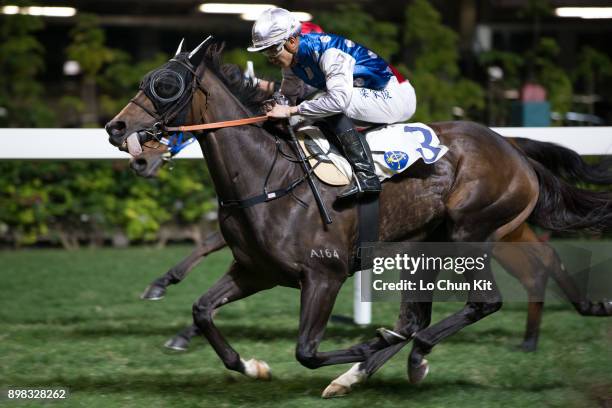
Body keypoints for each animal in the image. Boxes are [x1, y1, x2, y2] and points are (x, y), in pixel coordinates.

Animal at [104, 41, 612, 396]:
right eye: (146, 78)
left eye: (165, 85)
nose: (116, 128)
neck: (269, 176)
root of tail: (513, 148)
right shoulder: (254, 271)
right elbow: (203, 311)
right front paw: (252, 365)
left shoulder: (323, 275)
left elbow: (306, 351)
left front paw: (367, 343)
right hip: (425, 249)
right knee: (416, 318)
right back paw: (364, 372)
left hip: (472, 233)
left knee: (479, 303)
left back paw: (408, 358)